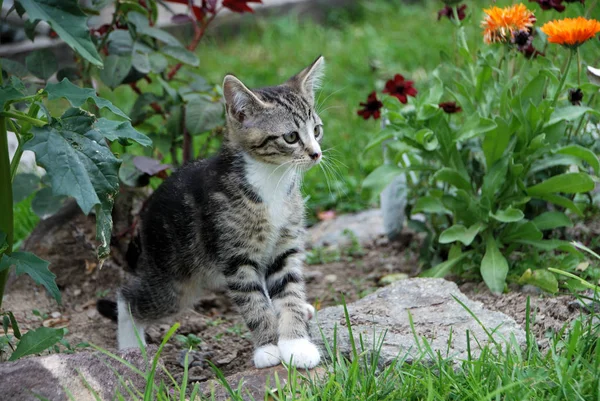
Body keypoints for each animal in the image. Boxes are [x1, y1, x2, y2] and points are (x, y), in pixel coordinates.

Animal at [98, 56, 326, 368]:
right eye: (291, 137)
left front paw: (296, 343)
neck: (272, 180)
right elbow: (253, 303)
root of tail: (144, 215)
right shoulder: (235, 255)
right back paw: (131, 347)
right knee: (128, 296)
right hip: (173, 281)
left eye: (316, 130)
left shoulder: (284, 247)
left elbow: (288, 290)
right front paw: (268, 348)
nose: (316, 154)